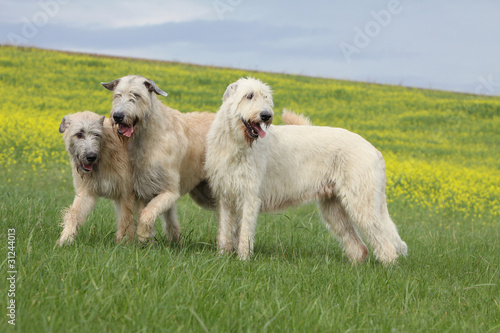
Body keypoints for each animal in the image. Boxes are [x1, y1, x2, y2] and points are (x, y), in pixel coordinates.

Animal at [205, 76, 408, 264]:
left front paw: (243, 260)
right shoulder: (226, 196)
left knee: (385, 242)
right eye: (249, 95)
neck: (236, 142)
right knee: (359, 246)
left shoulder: (250, 196)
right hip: (334, 208)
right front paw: (222, 258)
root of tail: (375, 151)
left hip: (361, 201)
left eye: (266, 97)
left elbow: (245, 231)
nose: (266, 115)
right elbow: (225, 230)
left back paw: (388, 267)